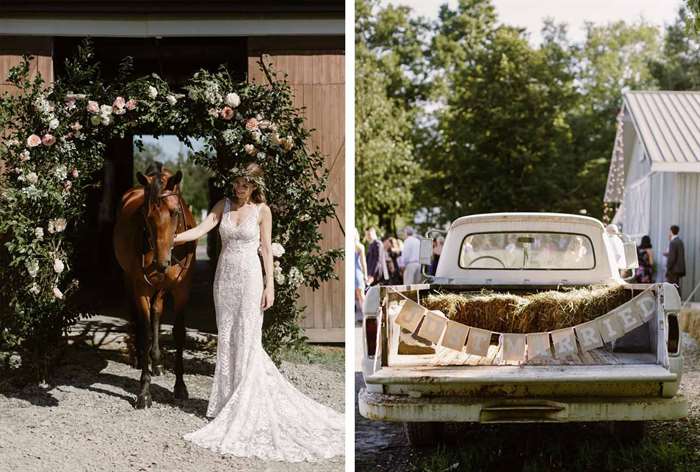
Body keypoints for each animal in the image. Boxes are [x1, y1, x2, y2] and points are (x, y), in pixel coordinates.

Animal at [113, 162, 196, 410]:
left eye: (175, 212)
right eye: (146, 215)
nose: (162, 263)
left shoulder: (181, 290)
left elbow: (178, 333)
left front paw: (180, 386)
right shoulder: (141, 288)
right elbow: (146, 331)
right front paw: (144, 392)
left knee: (157, 312)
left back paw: (157, 362)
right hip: (130, 280)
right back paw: (141, 358)